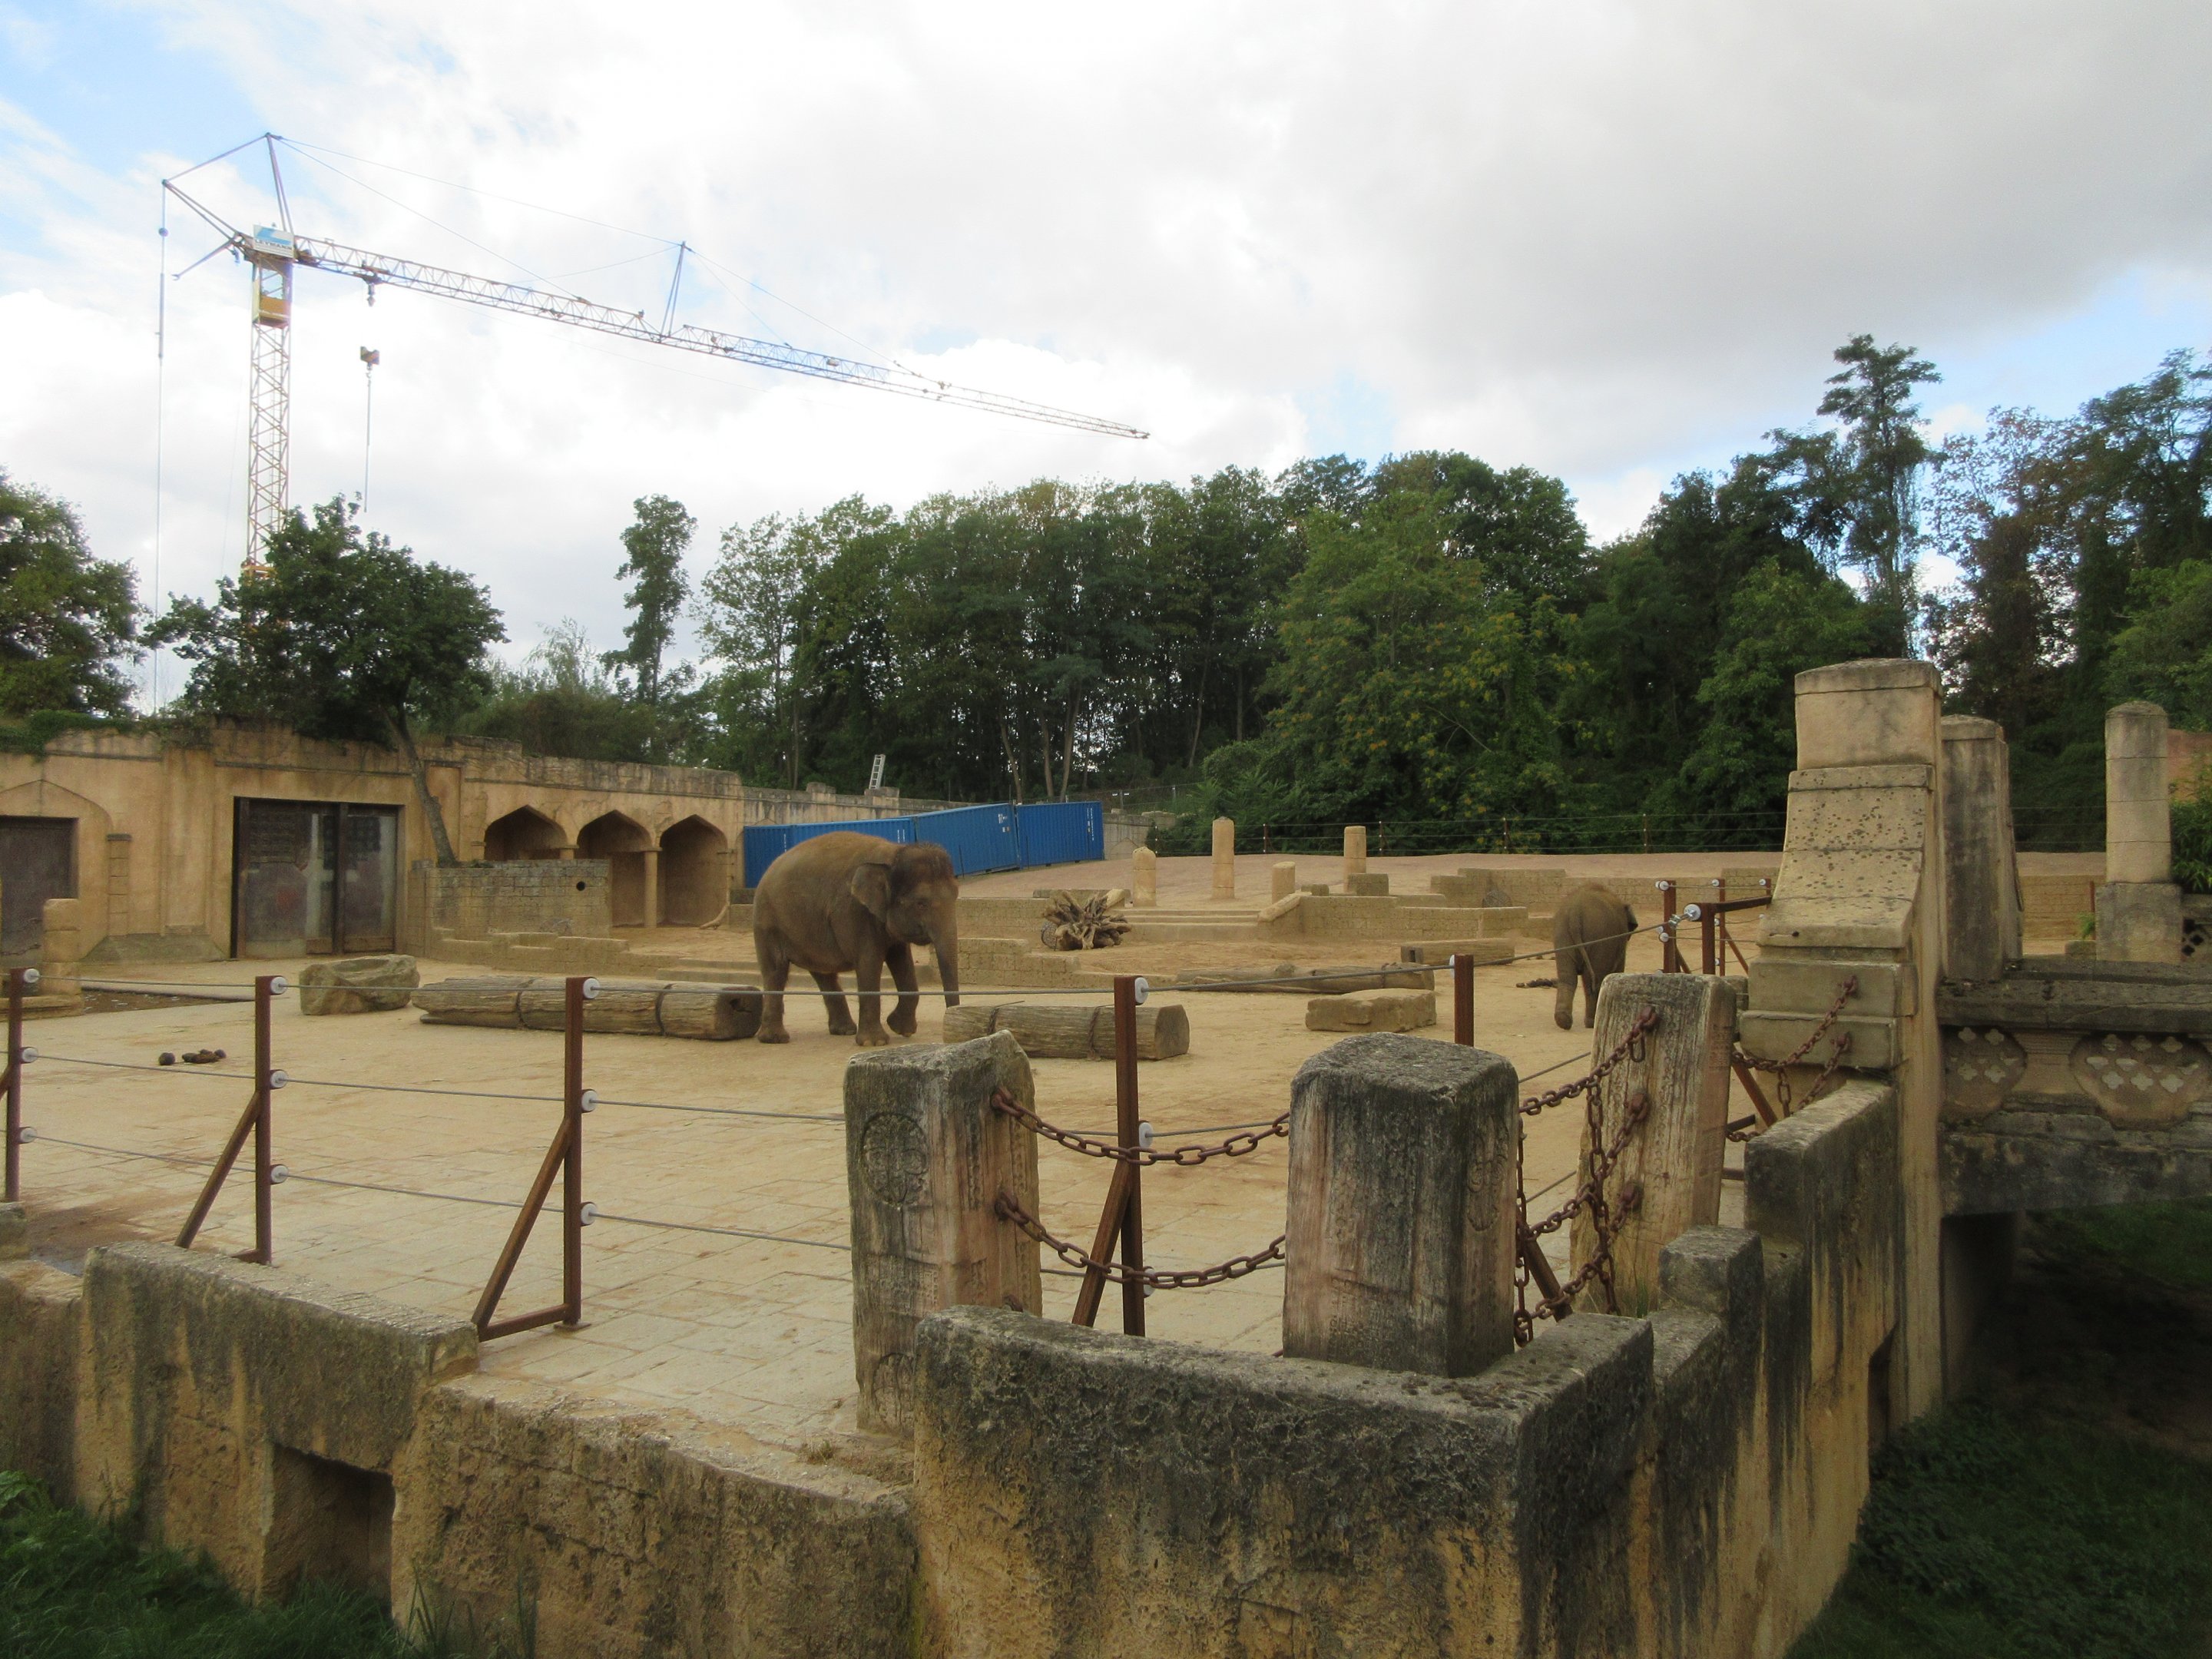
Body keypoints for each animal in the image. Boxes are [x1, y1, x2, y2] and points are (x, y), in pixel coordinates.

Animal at [752, 832, 962, 1046]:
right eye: (921, 904)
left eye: (956, 896)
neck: (894, 853)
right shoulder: (855, 913)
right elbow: (869, 963)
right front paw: (874, 1042)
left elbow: (902, 962)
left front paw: (901, 1029)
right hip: (767, 923)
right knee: (775, 971)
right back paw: (775, 1038)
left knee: (823, 973)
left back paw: (844, 1030)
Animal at [1553, 886, 1637, 1030]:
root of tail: (1575, 912)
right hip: (1599, 937)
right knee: (1593, 979)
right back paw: (1591, 1023)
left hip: (1562, 934)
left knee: (1567, 977)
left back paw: (1563, 1021)